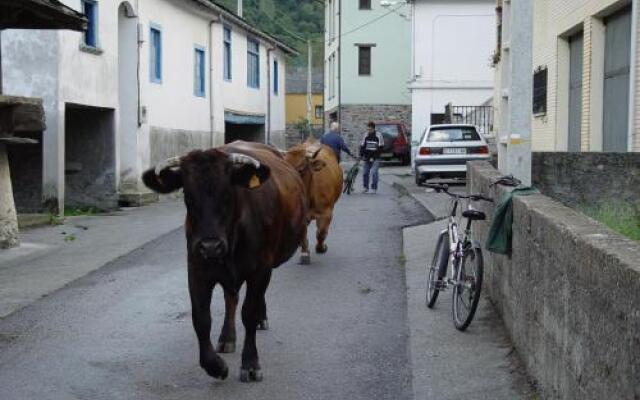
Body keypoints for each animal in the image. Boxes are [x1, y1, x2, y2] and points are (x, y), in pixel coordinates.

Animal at [143, 140, 308, 382]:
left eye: (227, 194)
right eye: (188, 196)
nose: (211, 246)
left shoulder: (261, 269)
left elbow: (249, 313)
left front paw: (250, 363)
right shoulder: (197, 268)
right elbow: (201, 319)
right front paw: (215, 366)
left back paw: (260, 319)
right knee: (231, 298)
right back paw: (227, 337)